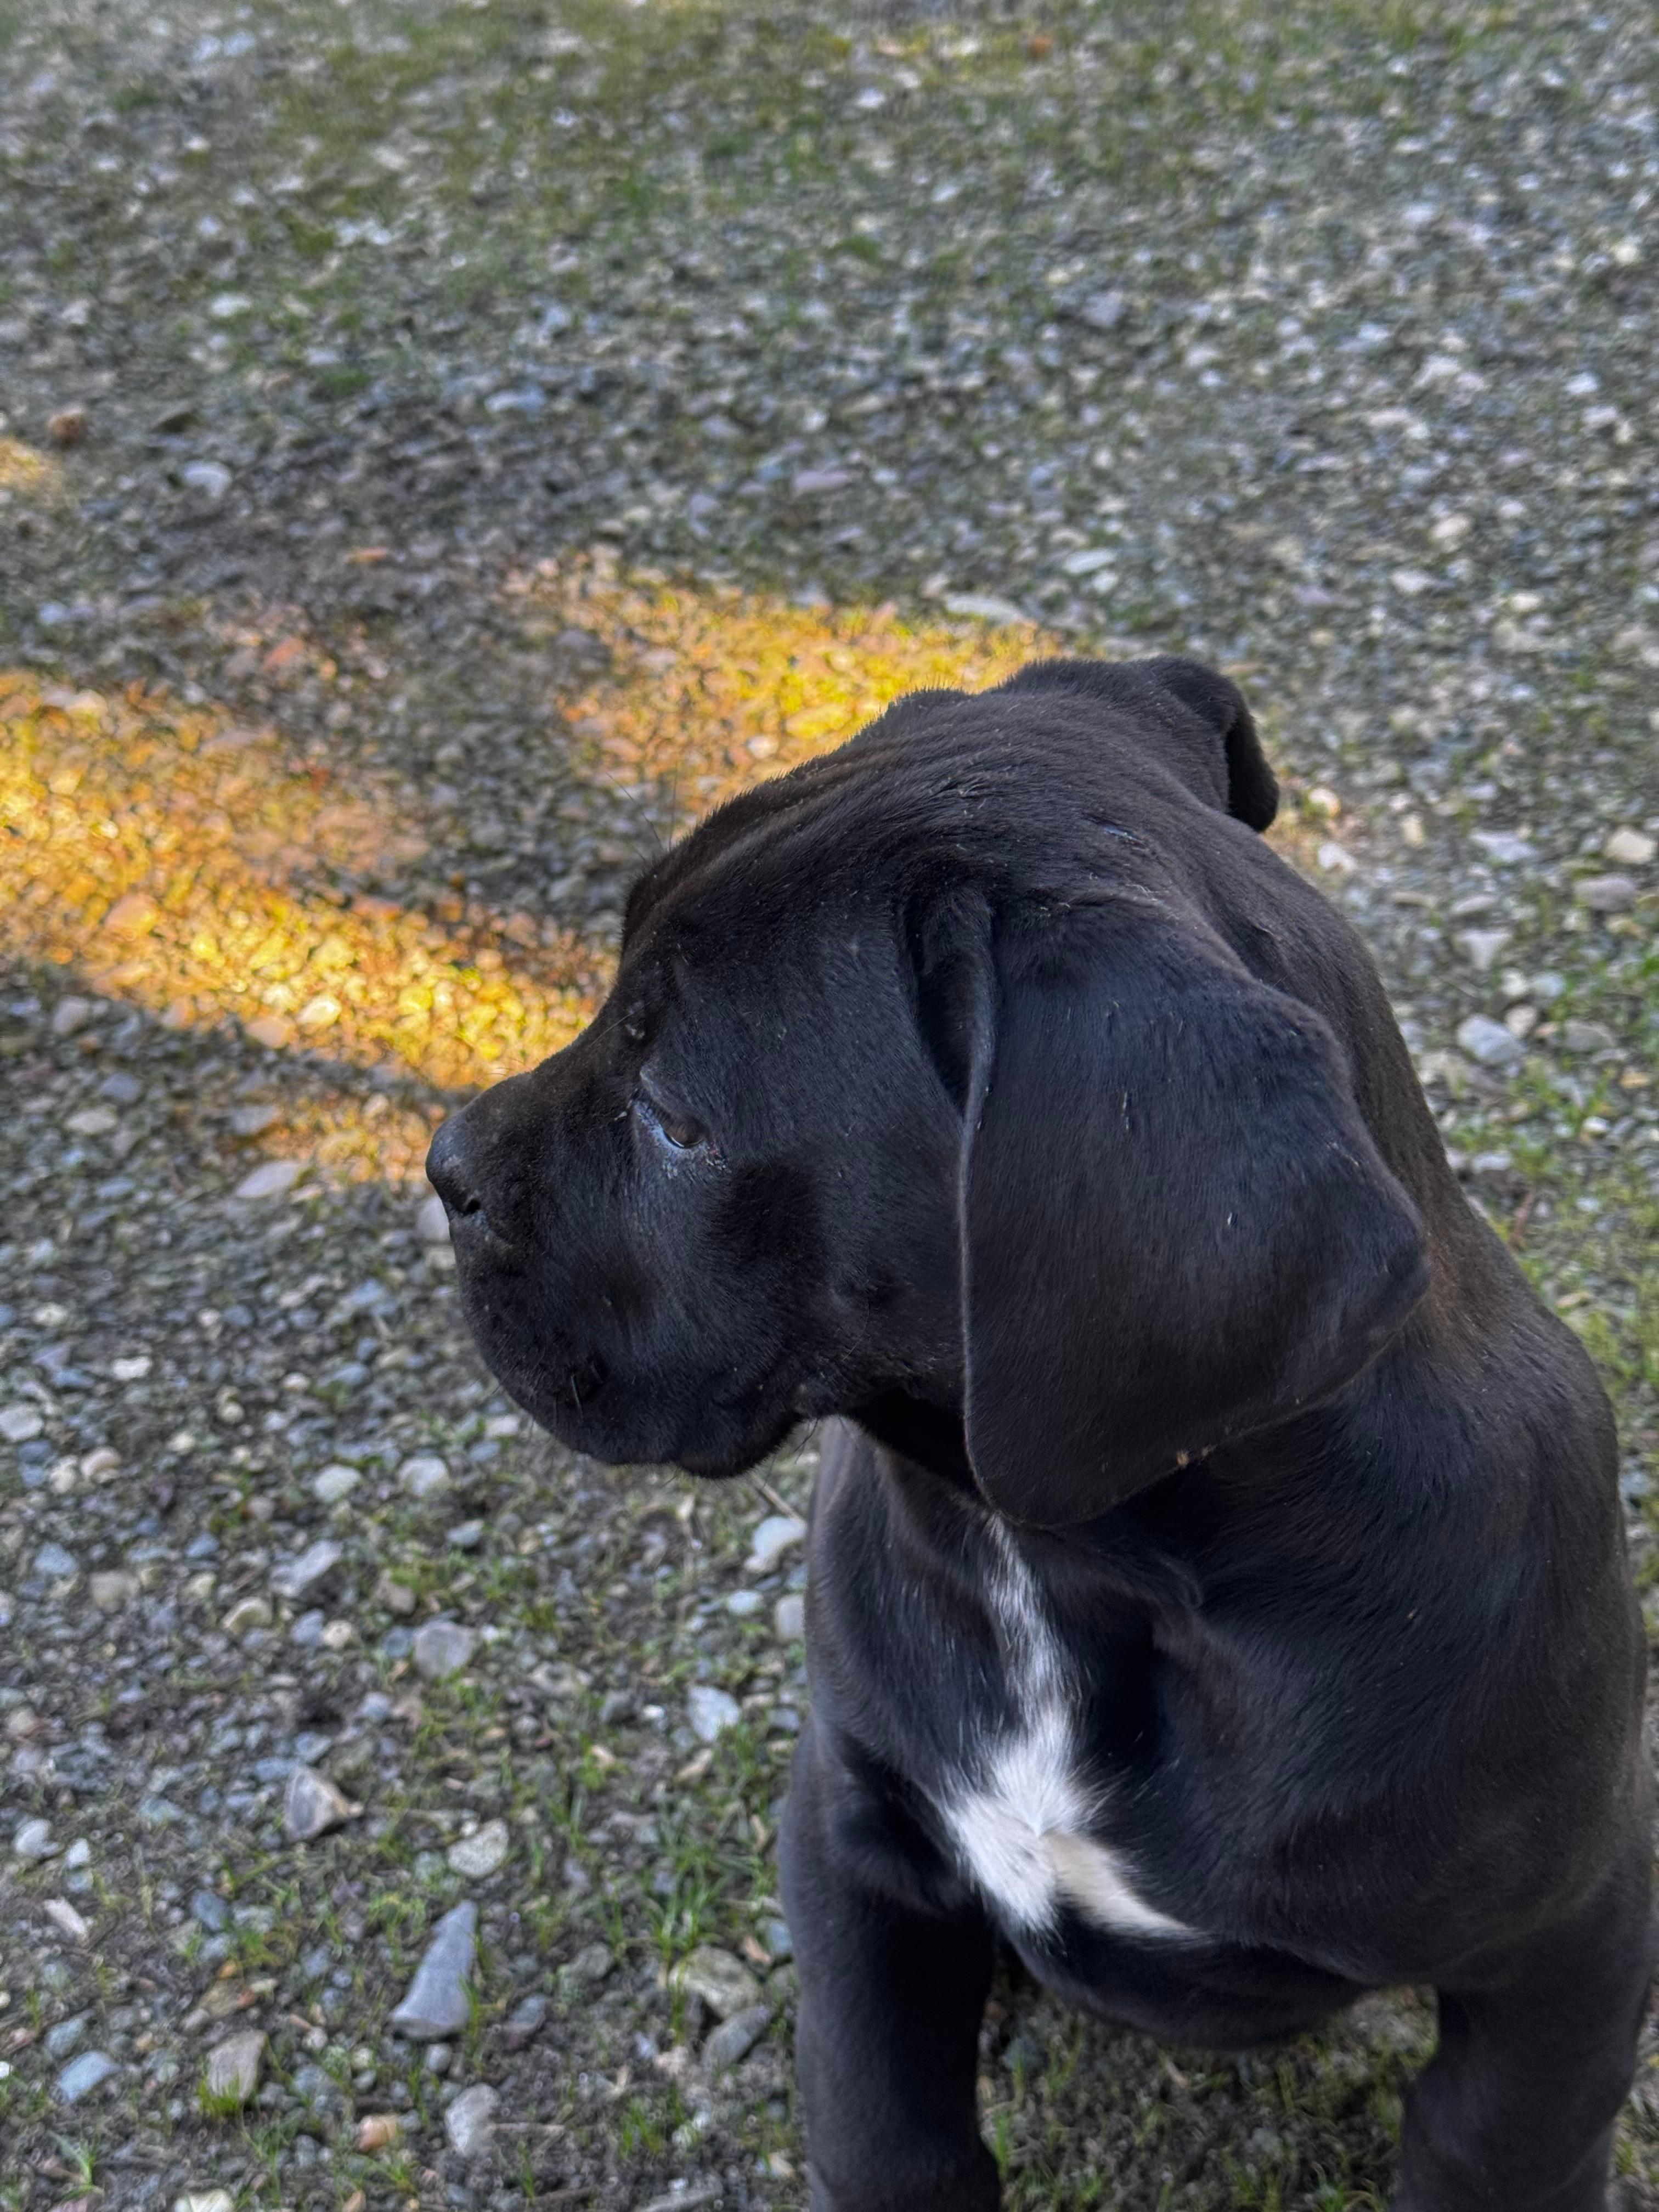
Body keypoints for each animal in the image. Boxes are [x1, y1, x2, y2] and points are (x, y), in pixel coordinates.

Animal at [428, 657, 1652, 2212]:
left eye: (677, 1118)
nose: (444, 1167)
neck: (1068, 1563)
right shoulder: (852, 1836)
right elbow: (882, 2121)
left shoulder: (1566, 1945)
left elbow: (1495, 2148)